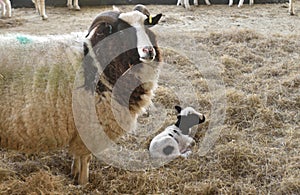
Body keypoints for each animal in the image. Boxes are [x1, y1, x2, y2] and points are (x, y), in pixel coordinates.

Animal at [0, 4, 162, 184]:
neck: (98, 62)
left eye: (146, 26)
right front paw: (83, 182)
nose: (149, 51)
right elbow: (85, 158)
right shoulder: (90, 125)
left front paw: (74, 174)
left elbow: (78, 157)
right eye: (121, 32)